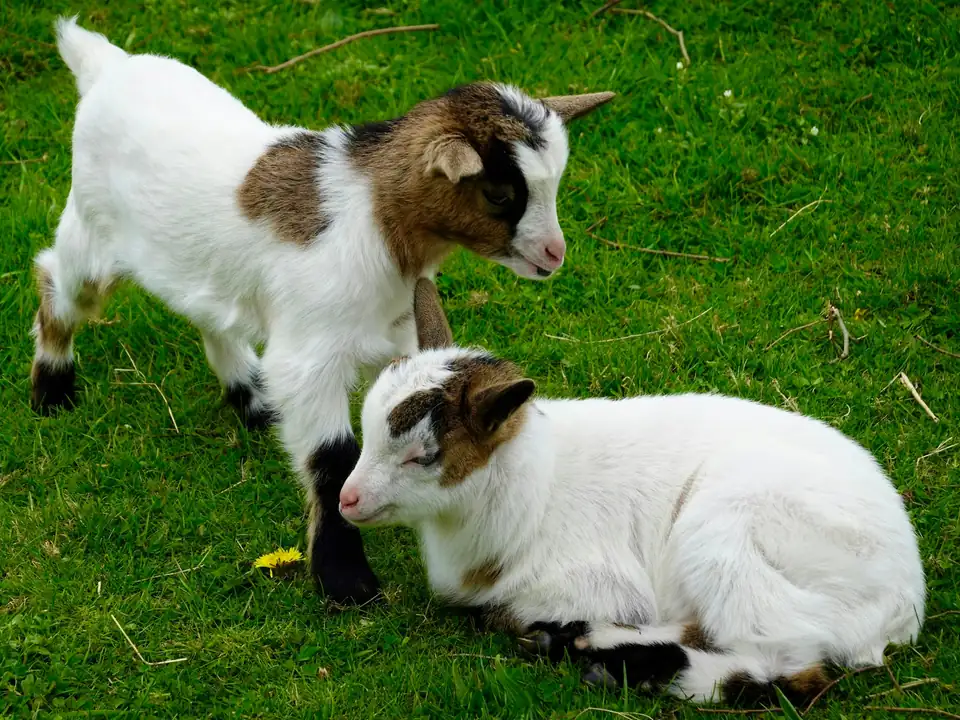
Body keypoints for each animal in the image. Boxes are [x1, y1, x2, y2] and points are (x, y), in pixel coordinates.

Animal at [30, 17, 614, 604]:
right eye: (499, 194)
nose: (554, 255)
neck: (378, 222)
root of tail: (104, 64)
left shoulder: (397, 334)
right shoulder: (310, 360)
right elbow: (331, 458)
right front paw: (344, 578)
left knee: (211, 316)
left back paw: (253, 400)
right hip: (91, 233)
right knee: (57, 279)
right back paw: (51, 391)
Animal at [338, 279, 925, 704]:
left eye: (425, 455)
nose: (348, 500)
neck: (535, 487)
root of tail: (902, 605)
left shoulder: (597, 582)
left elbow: (498, 613)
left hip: (725, 538)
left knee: (788, 664)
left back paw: (621, 661)